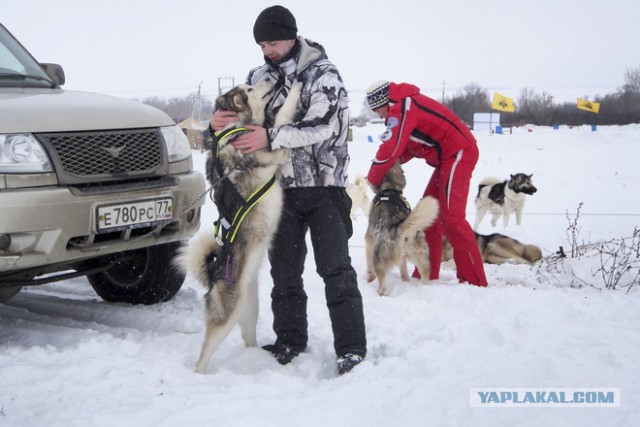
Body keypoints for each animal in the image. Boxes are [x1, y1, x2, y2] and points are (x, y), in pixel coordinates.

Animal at [175, 80, 300, 374]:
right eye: (250, 89)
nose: (272, 80)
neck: (238, 128)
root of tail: (213, 277)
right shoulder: (274, 150)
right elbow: (282, 118)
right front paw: (296, 90)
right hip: (226, 316)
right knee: (204, 355)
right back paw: (202, 375)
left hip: (250, 308)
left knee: (247, 337)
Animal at [364, 160, 440, 298]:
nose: (365, 176)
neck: (390, 190)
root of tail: (399, 228)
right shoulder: (402, 257)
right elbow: (403, 267)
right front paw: (405, 280)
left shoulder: (369, 238)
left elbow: (369, 265)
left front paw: (369, 279)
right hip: (421, 257)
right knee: (425, 275)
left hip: (379, 258)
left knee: (383, 286)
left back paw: (379, 294)